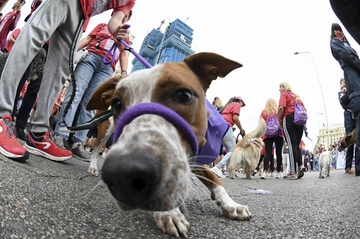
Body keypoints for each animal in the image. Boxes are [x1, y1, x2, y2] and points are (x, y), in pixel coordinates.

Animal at [86, 52, 253, 237]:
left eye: (184, 96)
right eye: (117, 104)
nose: (123, 175)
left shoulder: (195, 156)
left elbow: (215, 180)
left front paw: (231, 204)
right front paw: (170, 213)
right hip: (106, 130)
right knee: (95, 148)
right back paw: (93, 166)